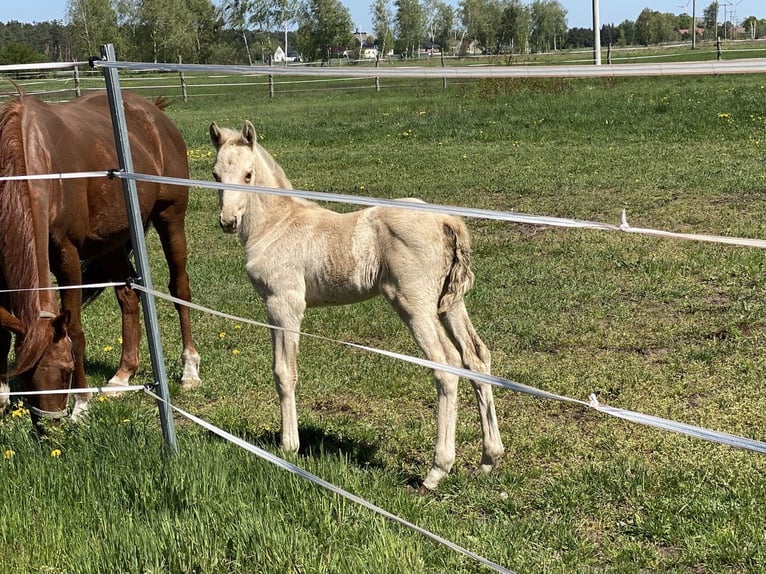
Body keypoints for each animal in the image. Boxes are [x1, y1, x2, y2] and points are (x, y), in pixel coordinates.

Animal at [0, 90, 200, 420]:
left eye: (67, 370)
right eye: (25, 374)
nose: (51, 423)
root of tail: (154, 112)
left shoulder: (66, 256)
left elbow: (76, 331)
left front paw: (82, 404)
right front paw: (2, 395)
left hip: (170, 217)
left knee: (179, 288)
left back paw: (190, 370)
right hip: (110, 243)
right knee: (128, 296)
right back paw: (123, 375)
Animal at [209, 120, 504, 490]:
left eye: (248, 175)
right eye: (215, 174)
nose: (228, 222)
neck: (277, 224)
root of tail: (445, 221)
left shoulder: (283, 304)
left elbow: (283, 372)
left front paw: (289, 446)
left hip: (414, 305)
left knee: (447, 365)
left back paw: (436, 471)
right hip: (449, 304)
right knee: (476, 358)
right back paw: (488, 459)